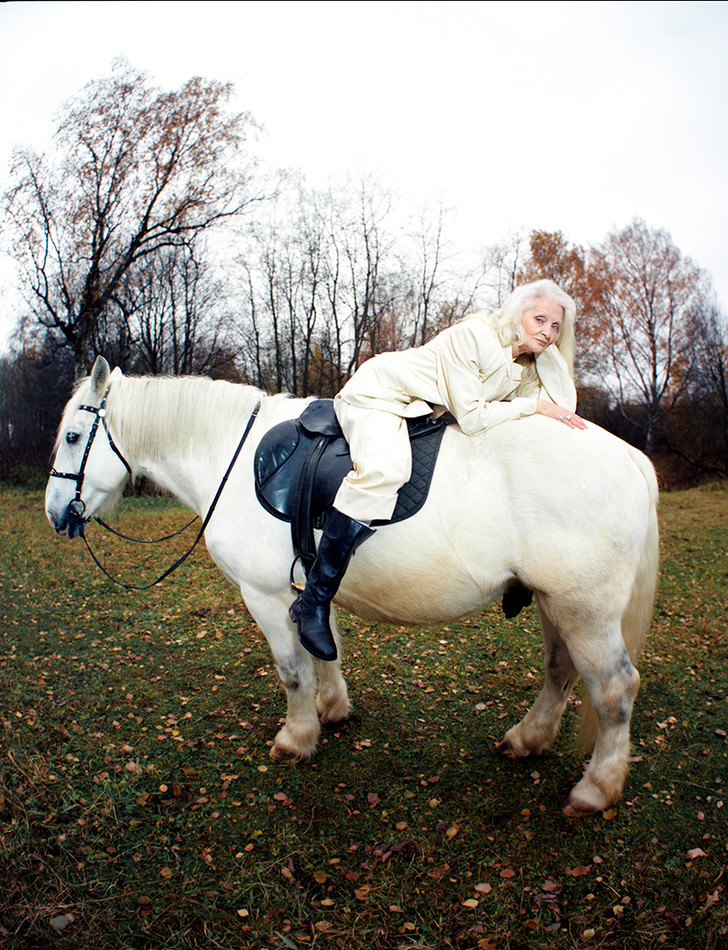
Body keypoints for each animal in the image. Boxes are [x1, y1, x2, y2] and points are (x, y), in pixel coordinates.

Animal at [45, 358, 660, 820]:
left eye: (73, 436)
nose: (55, 514)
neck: (231, 455)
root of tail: (629, 456)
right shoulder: (312, 584)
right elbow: (325, 650)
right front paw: (332, 710)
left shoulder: (265, 595)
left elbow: (293, 670)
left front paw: (297, 737)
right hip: (557, 605)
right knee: (560, 672)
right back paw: (529, 739)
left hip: (585, 610)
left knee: (614, 691)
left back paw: (596, 788)